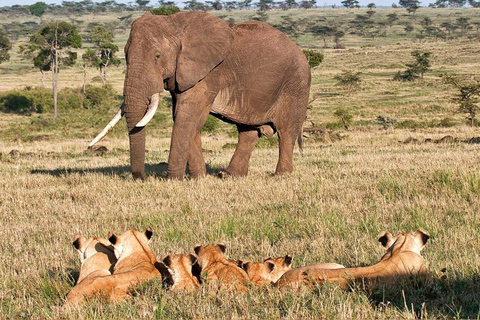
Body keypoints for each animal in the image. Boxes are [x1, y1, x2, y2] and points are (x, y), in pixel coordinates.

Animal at [88, 11, 310, 180]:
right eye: (125, 56)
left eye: (157, 56)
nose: (140, 179)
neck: (175, 24)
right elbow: (183, 116)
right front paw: (198, 178)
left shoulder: (209, 72)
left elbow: (187, 115)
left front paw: (174, 180)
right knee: (247, 132)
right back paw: (228, 175)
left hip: (296, 83)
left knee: (286, 130)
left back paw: (280, 176)